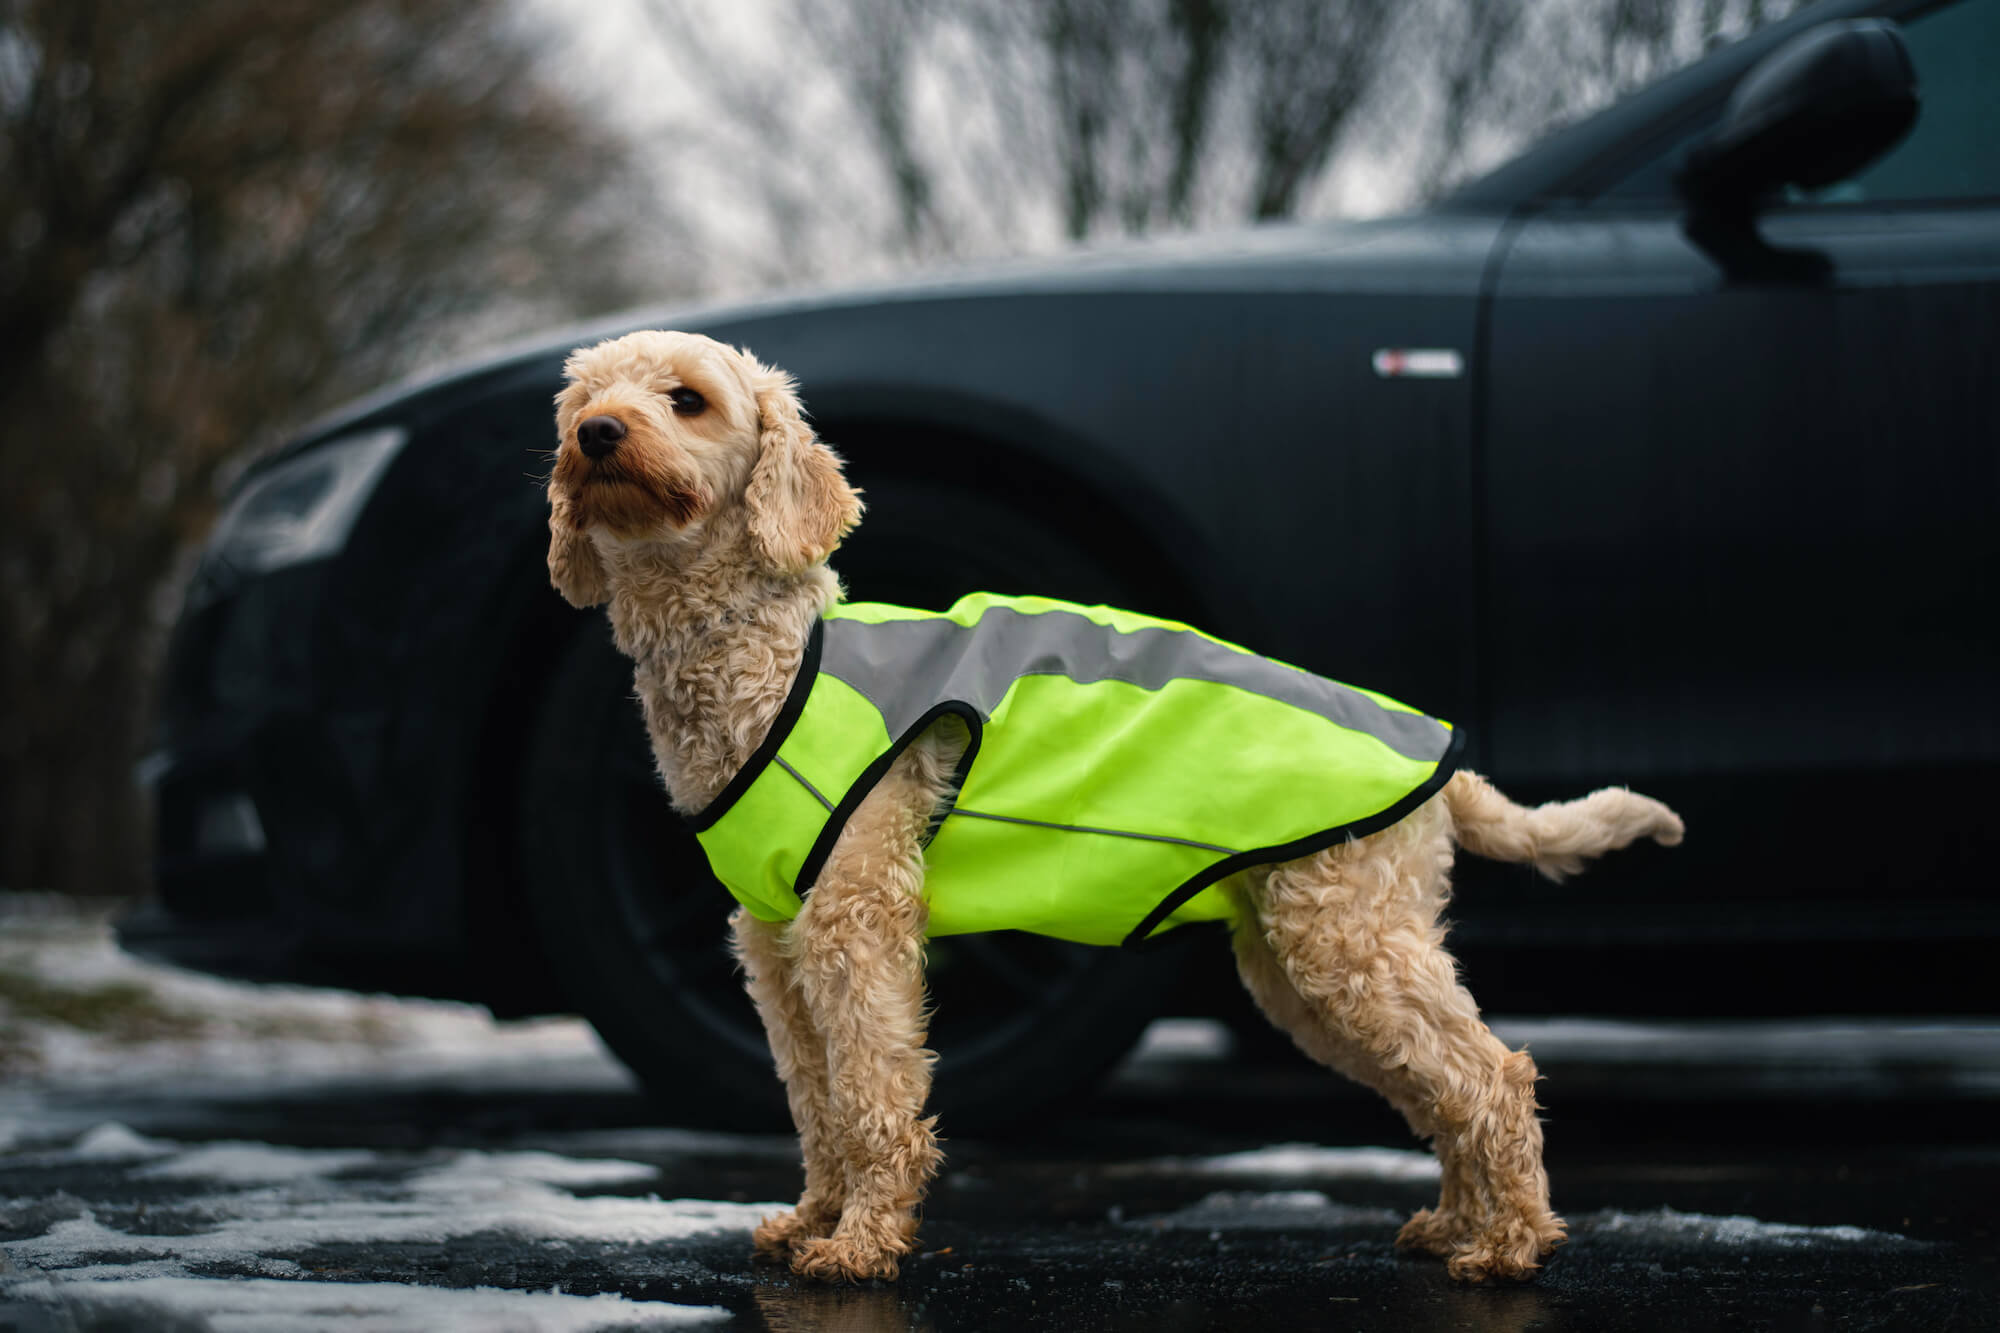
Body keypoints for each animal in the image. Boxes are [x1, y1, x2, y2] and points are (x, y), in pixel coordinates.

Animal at [548, 326, 1688, 1280]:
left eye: (686, 399)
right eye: (586, 398)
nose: (595, 434)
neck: (763, 651)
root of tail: (1444, 773)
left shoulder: (853, 918)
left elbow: (872, 1093)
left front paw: (863, 1244)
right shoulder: (772, 941)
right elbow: (814, 1100)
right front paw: (813, 1219)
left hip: (1348, 936)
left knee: (1493, 1073)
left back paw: (1510, 1244)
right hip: (1303, 964)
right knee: (1440, 1084)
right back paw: (1459, 1223)